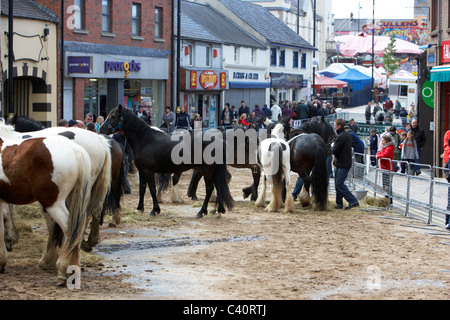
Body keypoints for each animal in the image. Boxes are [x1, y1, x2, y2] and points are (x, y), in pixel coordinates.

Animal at [100, 106, 234, 219]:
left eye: (113, 116)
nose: (101, 129)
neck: (145, 140)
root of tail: (217, 141)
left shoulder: (149, 171)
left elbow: (152, 189)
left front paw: (155, 210)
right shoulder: (142, 171)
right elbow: (142, 189)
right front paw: (140, 208)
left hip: (207, 170)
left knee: (210, 188)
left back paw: (201, 212)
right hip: (212, 171)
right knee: (218, 186)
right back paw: (218, 210)